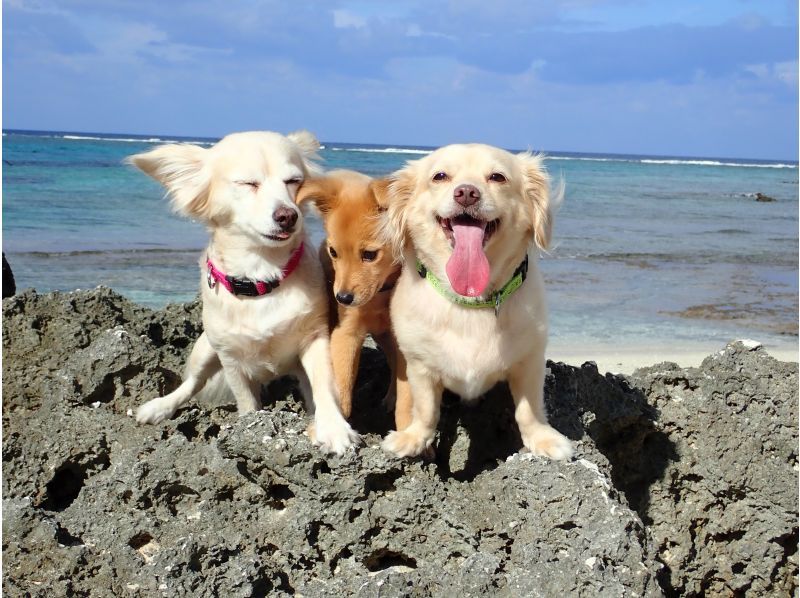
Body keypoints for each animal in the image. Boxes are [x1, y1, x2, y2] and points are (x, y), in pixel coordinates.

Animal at [129, 129, 360, 452]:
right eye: (249, 184)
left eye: (294, 181)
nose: (288, 215)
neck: (262, 277)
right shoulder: (230, 359)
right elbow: (247, 403)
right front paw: (251, 428)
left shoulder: (316, 339)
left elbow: (324, 386)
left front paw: (333, 428)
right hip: (205, 349)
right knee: (193, 382)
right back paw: (160, 407)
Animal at [298, 171, 412, 434]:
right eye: (333, 252)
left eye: (369, 255)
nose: (343, 298)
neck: (381, 293)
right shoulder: (345, 333)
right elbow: (342, 383)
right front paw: (333, 428)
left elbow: (408, 398)